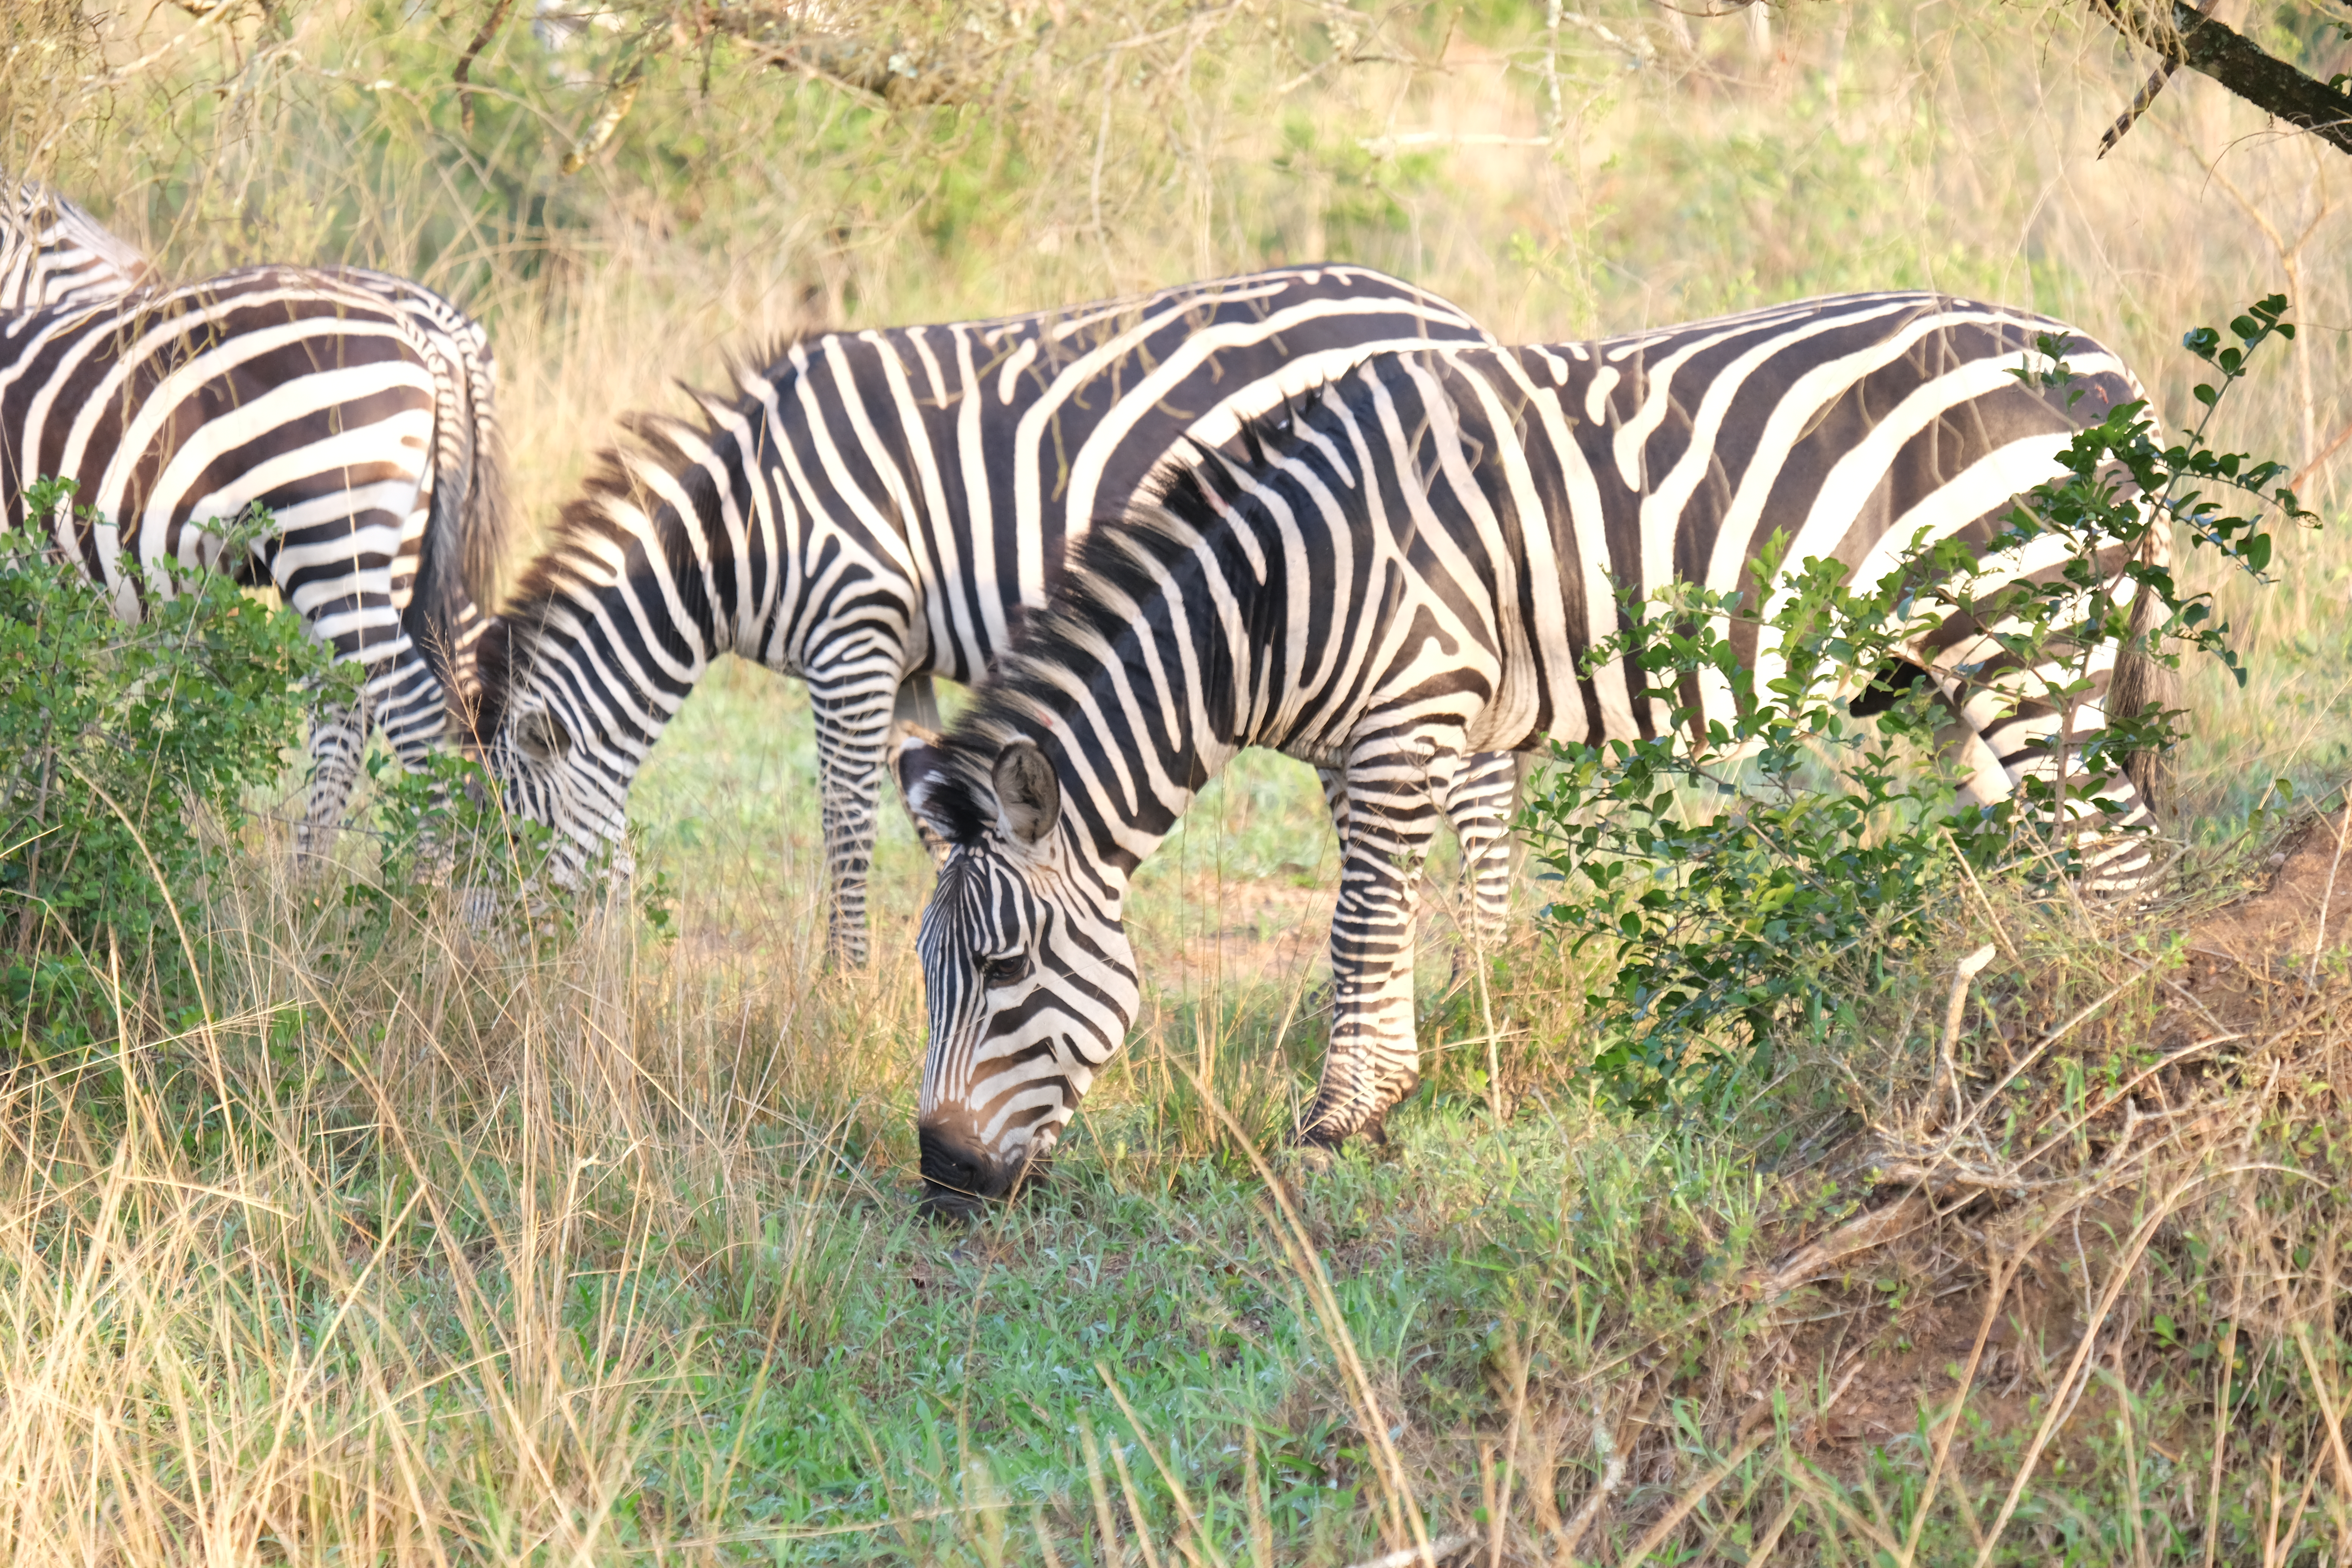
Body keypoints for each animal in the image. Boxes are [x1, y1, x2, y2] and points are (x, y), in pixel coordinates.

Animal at [0, 176, 514, 842]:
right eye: (40, 223)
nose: (149, 282)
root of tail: (430, 332)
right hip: (396, 550)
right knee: (387, 701)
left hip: (331, 538)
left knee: (412, 711)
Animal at [467, 266, 1513, 965]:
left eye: (507, 848)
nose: (474, 986)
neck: (737, 530)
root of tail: (1462, 324)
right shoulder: (904, 657)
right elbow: (929, 814)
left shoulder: (853, 630)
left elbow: (845, 819)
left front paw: (841, 985)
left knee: (1479, 793)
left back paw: (1481, 980)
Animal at [887, 291, 2167, 1212]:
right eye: (927, 973)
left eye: (1003, 968)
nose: (944, 1180)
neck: (1275, 601)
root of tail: (2102, 358)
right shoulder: (1364, 750)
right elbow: (1392, 923)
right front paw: (1383, 1103)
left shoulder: (1408, 716)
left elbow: (1361, 927)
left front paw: (1333, 1126)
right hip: (1972, 672)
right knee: (2052, 857)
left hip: (2029, 628)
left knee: (2120, 863)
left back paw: (2107, 1058)